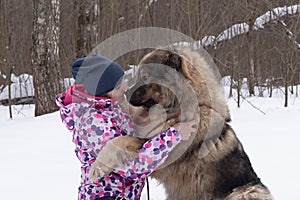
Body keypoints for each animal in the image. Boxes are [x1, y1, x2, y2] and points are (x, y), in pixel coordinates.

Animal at [90, 47, 274, 200]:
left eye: (145, 77)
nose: (126, 93)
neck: (177, 109)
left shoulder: (161, 155)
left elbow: (119, 141)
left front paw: (97, 167)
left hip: (247, 192)